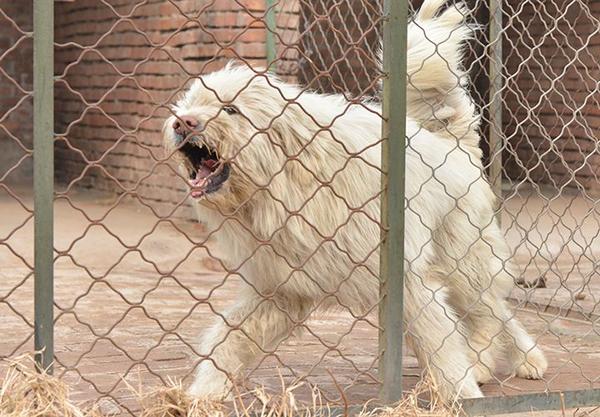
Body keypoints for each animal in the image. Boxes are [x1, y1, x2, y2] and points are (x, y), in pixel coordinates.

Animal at [162, 0, 548, 404]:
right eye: (189, 105)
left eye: (231, 110)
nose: (182, 123)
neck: (290, 181)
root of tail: (452, 145)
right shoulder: (281, 289)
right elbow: (230, 340)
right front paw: (204, 390)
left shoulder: (406, 281)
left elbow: (440, 345)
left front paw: (461, 393)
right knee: (499, 312)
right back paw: (522, 360)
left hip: (463, 263)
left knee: (490, 313)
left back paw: (490, 362)